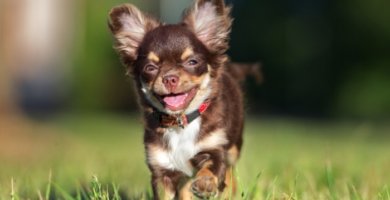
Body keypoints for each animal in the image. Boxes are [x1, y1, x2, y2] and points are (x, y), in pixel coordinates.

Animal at [108, 0, 244, 198]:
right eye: (150, 67)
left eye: (192, 62)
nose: (169, 78)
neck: (180, 122)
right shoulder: (162, 168)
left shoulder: (214, 149)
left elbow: (212, 168)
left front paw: (205, 183)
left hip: (233, 149)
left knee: (230, 174)